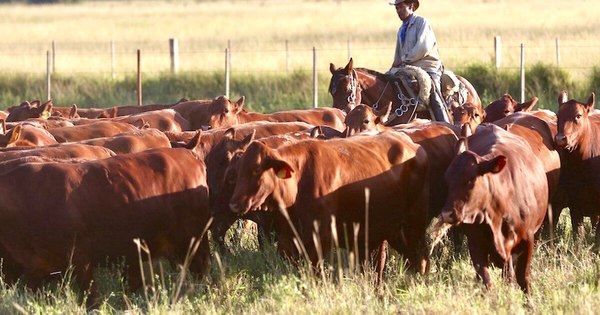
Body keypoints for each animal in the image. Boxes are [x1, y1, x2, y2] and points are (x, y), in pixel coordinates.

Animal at [440, 124, 548, 294]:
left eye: (470, 179)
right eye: (447, 178)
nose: (446, 214)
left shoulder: (528, 238)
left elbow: (523, 277)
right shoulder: (475, 241)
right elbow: (486, 279)